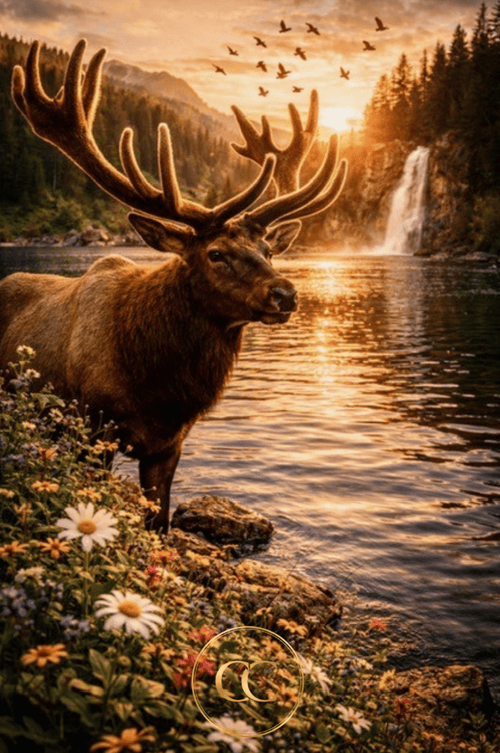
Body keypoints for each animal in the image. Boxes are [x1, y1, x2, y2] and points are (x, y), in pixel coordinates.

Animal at [0, 40, 347, 531]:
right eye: (215, 253)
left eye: (269, 250)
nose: (285, 293)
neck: (158, 384)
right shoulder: (92, 429)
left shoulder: (169, 445)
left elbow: (159, 524)